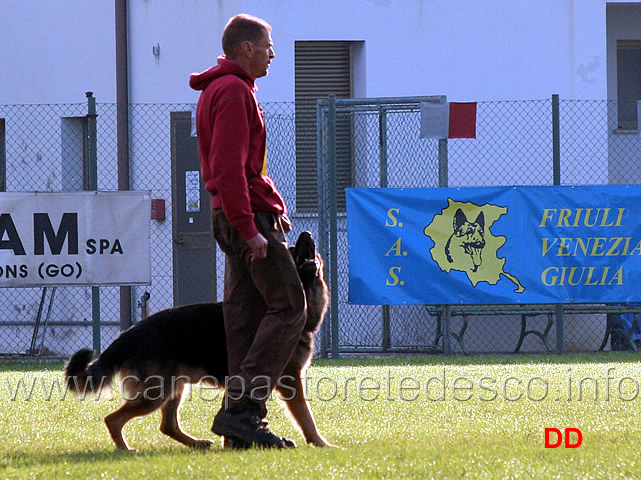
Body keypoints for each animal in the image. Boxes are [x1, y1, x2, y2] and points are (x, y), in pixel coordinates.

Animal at [65, 232, 330, 450]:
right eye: (292, 250)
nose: (308, 233)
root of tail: (130, 332)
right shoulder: (290, 380)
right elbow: (306, 416)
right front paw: (321, 443)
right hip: (156, 393)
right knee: (113, 419)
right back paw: (125, 449)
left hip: (175, 387)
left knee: (167, 425)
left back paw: (196, 443)